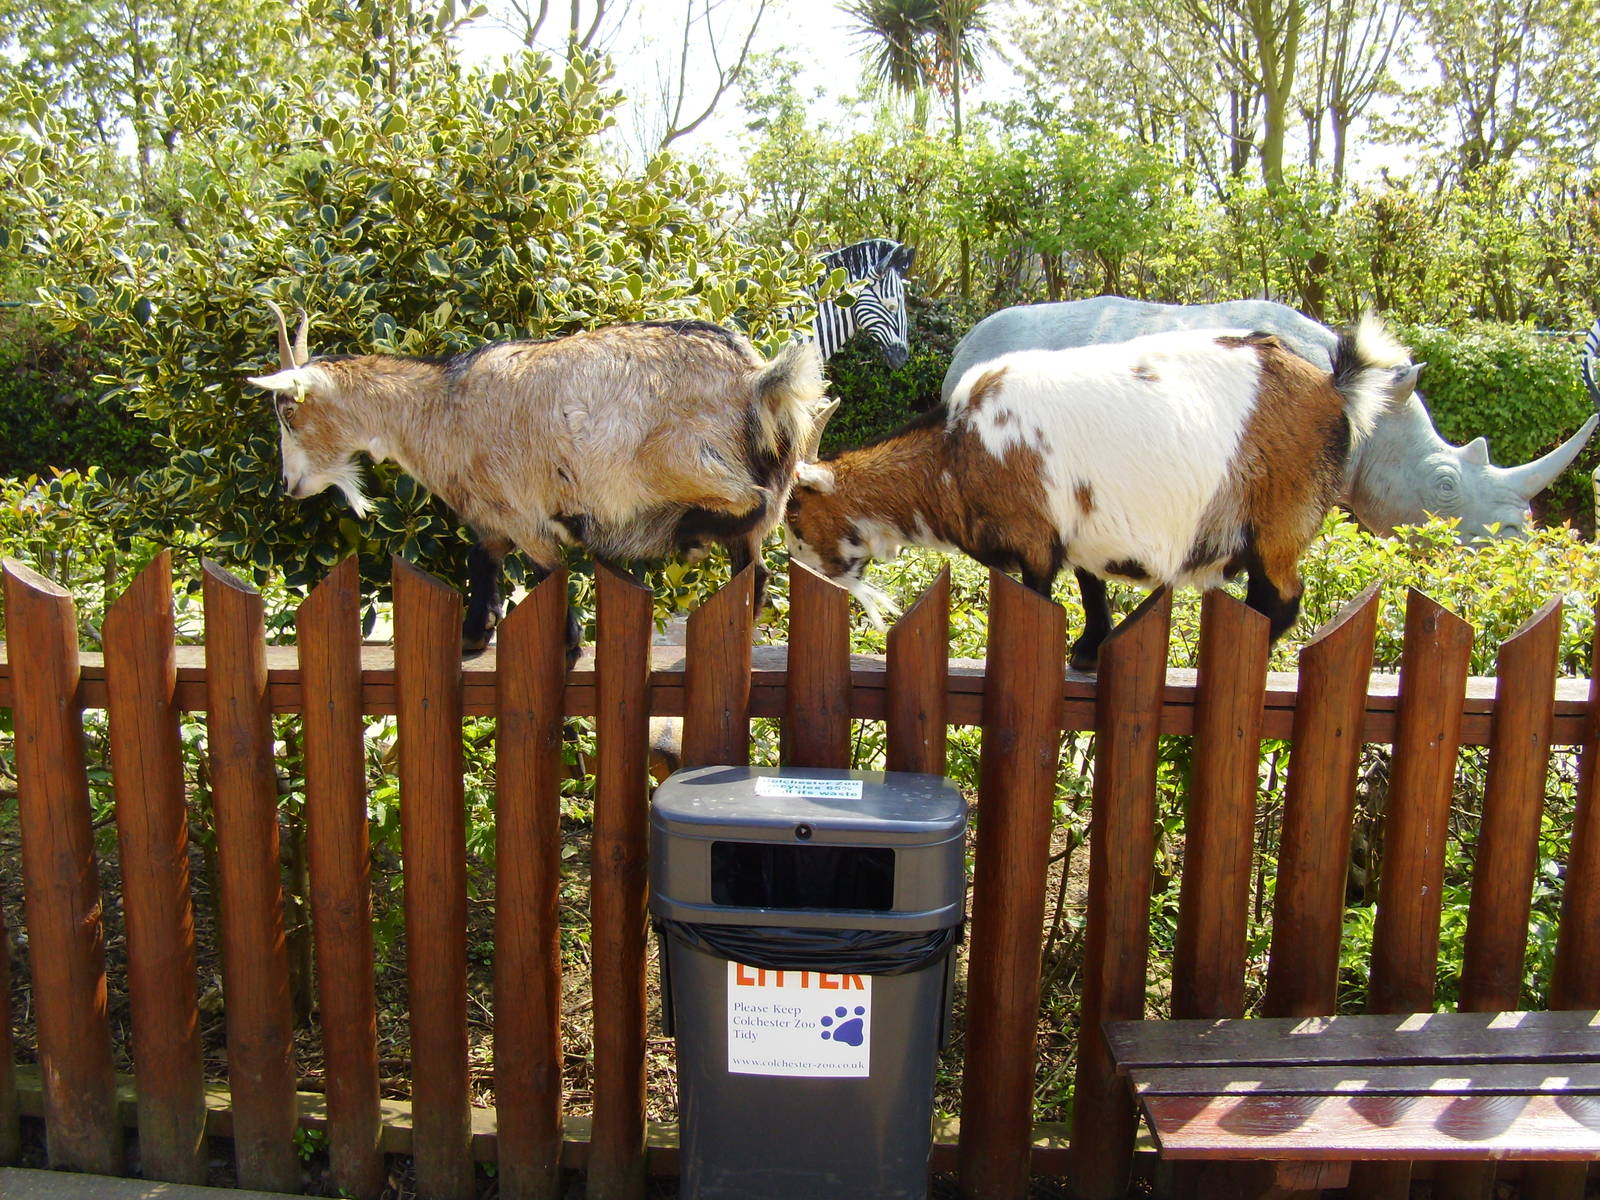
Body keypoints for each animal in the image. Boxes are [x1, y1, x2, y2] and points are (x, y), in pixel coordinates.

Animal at [249, 303, 828, 652]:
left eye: (287, 412)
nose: (289, 485)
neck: (439, 409)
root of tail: (757, 379)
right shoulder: (491, 518)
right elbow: (481, 561)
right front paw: (475, 633)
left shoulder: (523, 514)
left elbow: (550, 574)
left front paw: (565, 643)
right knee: (755, 569)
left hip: (682, 461)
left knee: (750, 504)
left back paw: (687, 535)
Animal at [784, 318, 1413, 670]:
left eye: (795, 514)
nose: (809, 574)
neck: (956, 452)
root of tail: (1335, 386)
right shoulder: (1086, 534)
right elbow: (1091, 591)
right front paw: (1089, 653)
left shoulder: (1034, 538)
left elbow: (1040, 596)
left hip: (1280, 522)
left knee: (1281, 599)